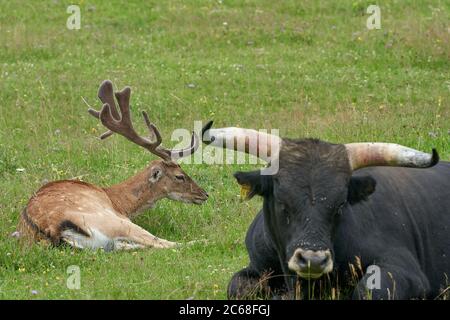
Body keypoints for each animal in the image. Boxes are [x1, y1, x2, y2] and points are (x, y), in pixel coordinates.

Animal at [15, 80, 209, 250]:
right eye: (179, 176)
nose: (204, 194)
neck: (118, 201)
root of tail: (51, 230)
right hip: (113, 222)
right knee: (162, 243)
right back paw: (202, 241)